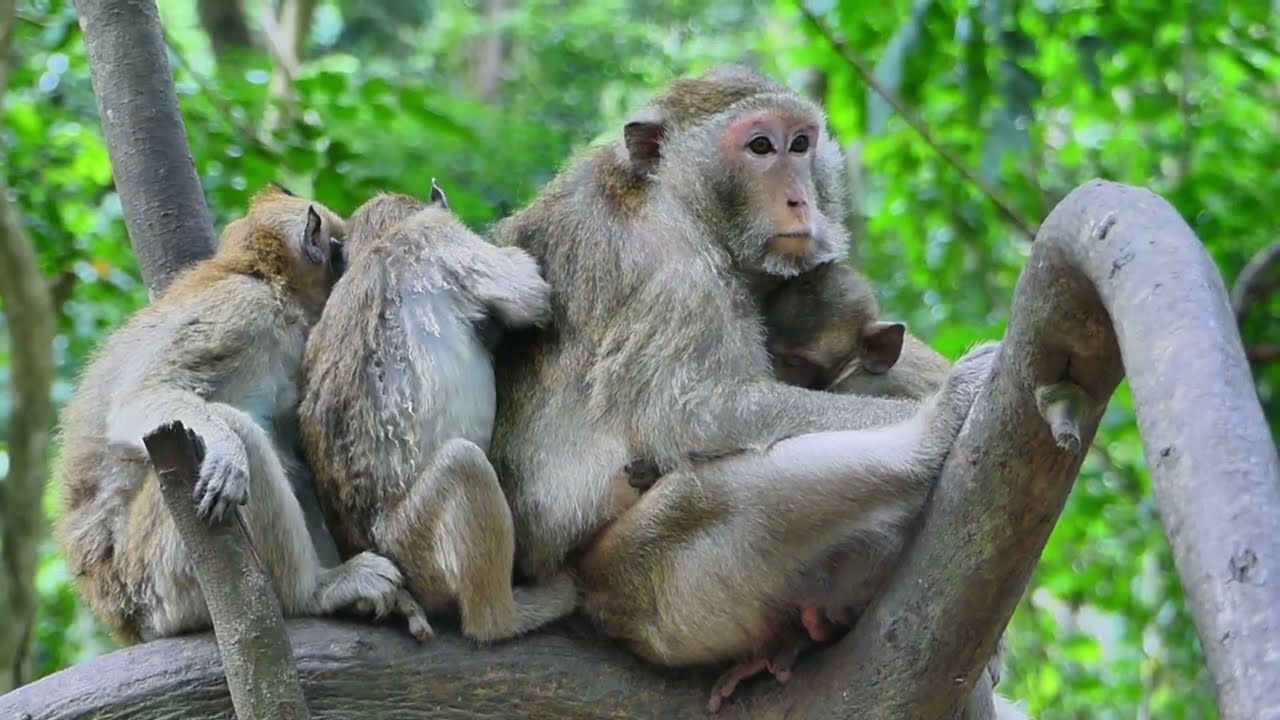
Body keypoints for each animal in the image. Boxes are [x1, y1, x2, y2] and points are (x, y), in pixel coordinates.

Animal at [54, 185, 429, 644]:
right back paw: (313, 591)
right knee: (241, 429)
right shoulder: (242, 310)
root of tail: (121, 615)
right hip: (161, 575)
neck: (266, 279)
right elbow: (139, 398)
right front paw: (227, 450)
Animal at [297, 181, 577, 644]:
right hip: (416, 545)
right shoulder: (440, 236)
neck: (382, 241)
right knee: (463, 463)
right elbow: (530, 295)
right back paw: (506, 616)